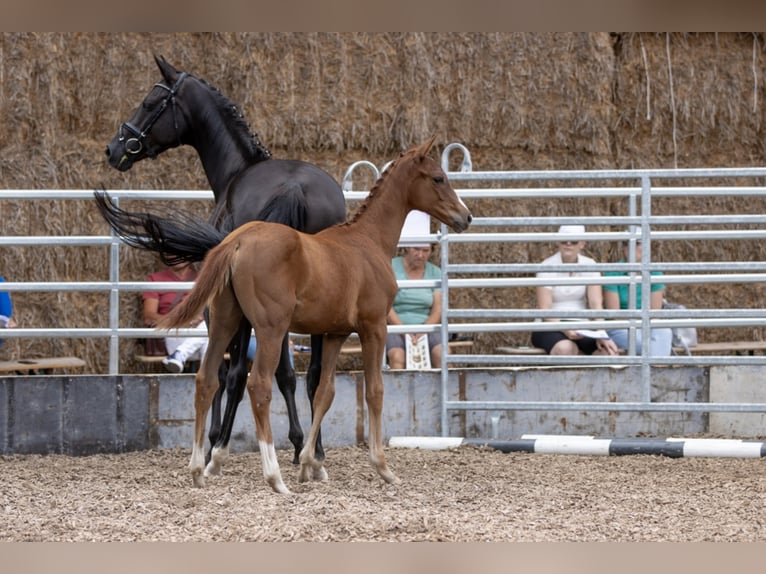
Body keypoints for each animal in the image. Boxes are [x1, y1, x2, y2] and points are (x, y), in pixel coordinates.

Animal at [100, 56, 346, 472]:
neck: (236, 170)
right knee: (314, 375)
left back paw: (222, 448)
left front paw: (215, 439)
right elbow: (286, 373)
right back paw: (315, 452)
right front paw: (301, 443)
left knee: (239, 373)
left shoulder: (219, 306)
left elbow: (222, 369)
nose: (114, 148)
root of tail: (294, 188)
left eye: (150, 102)